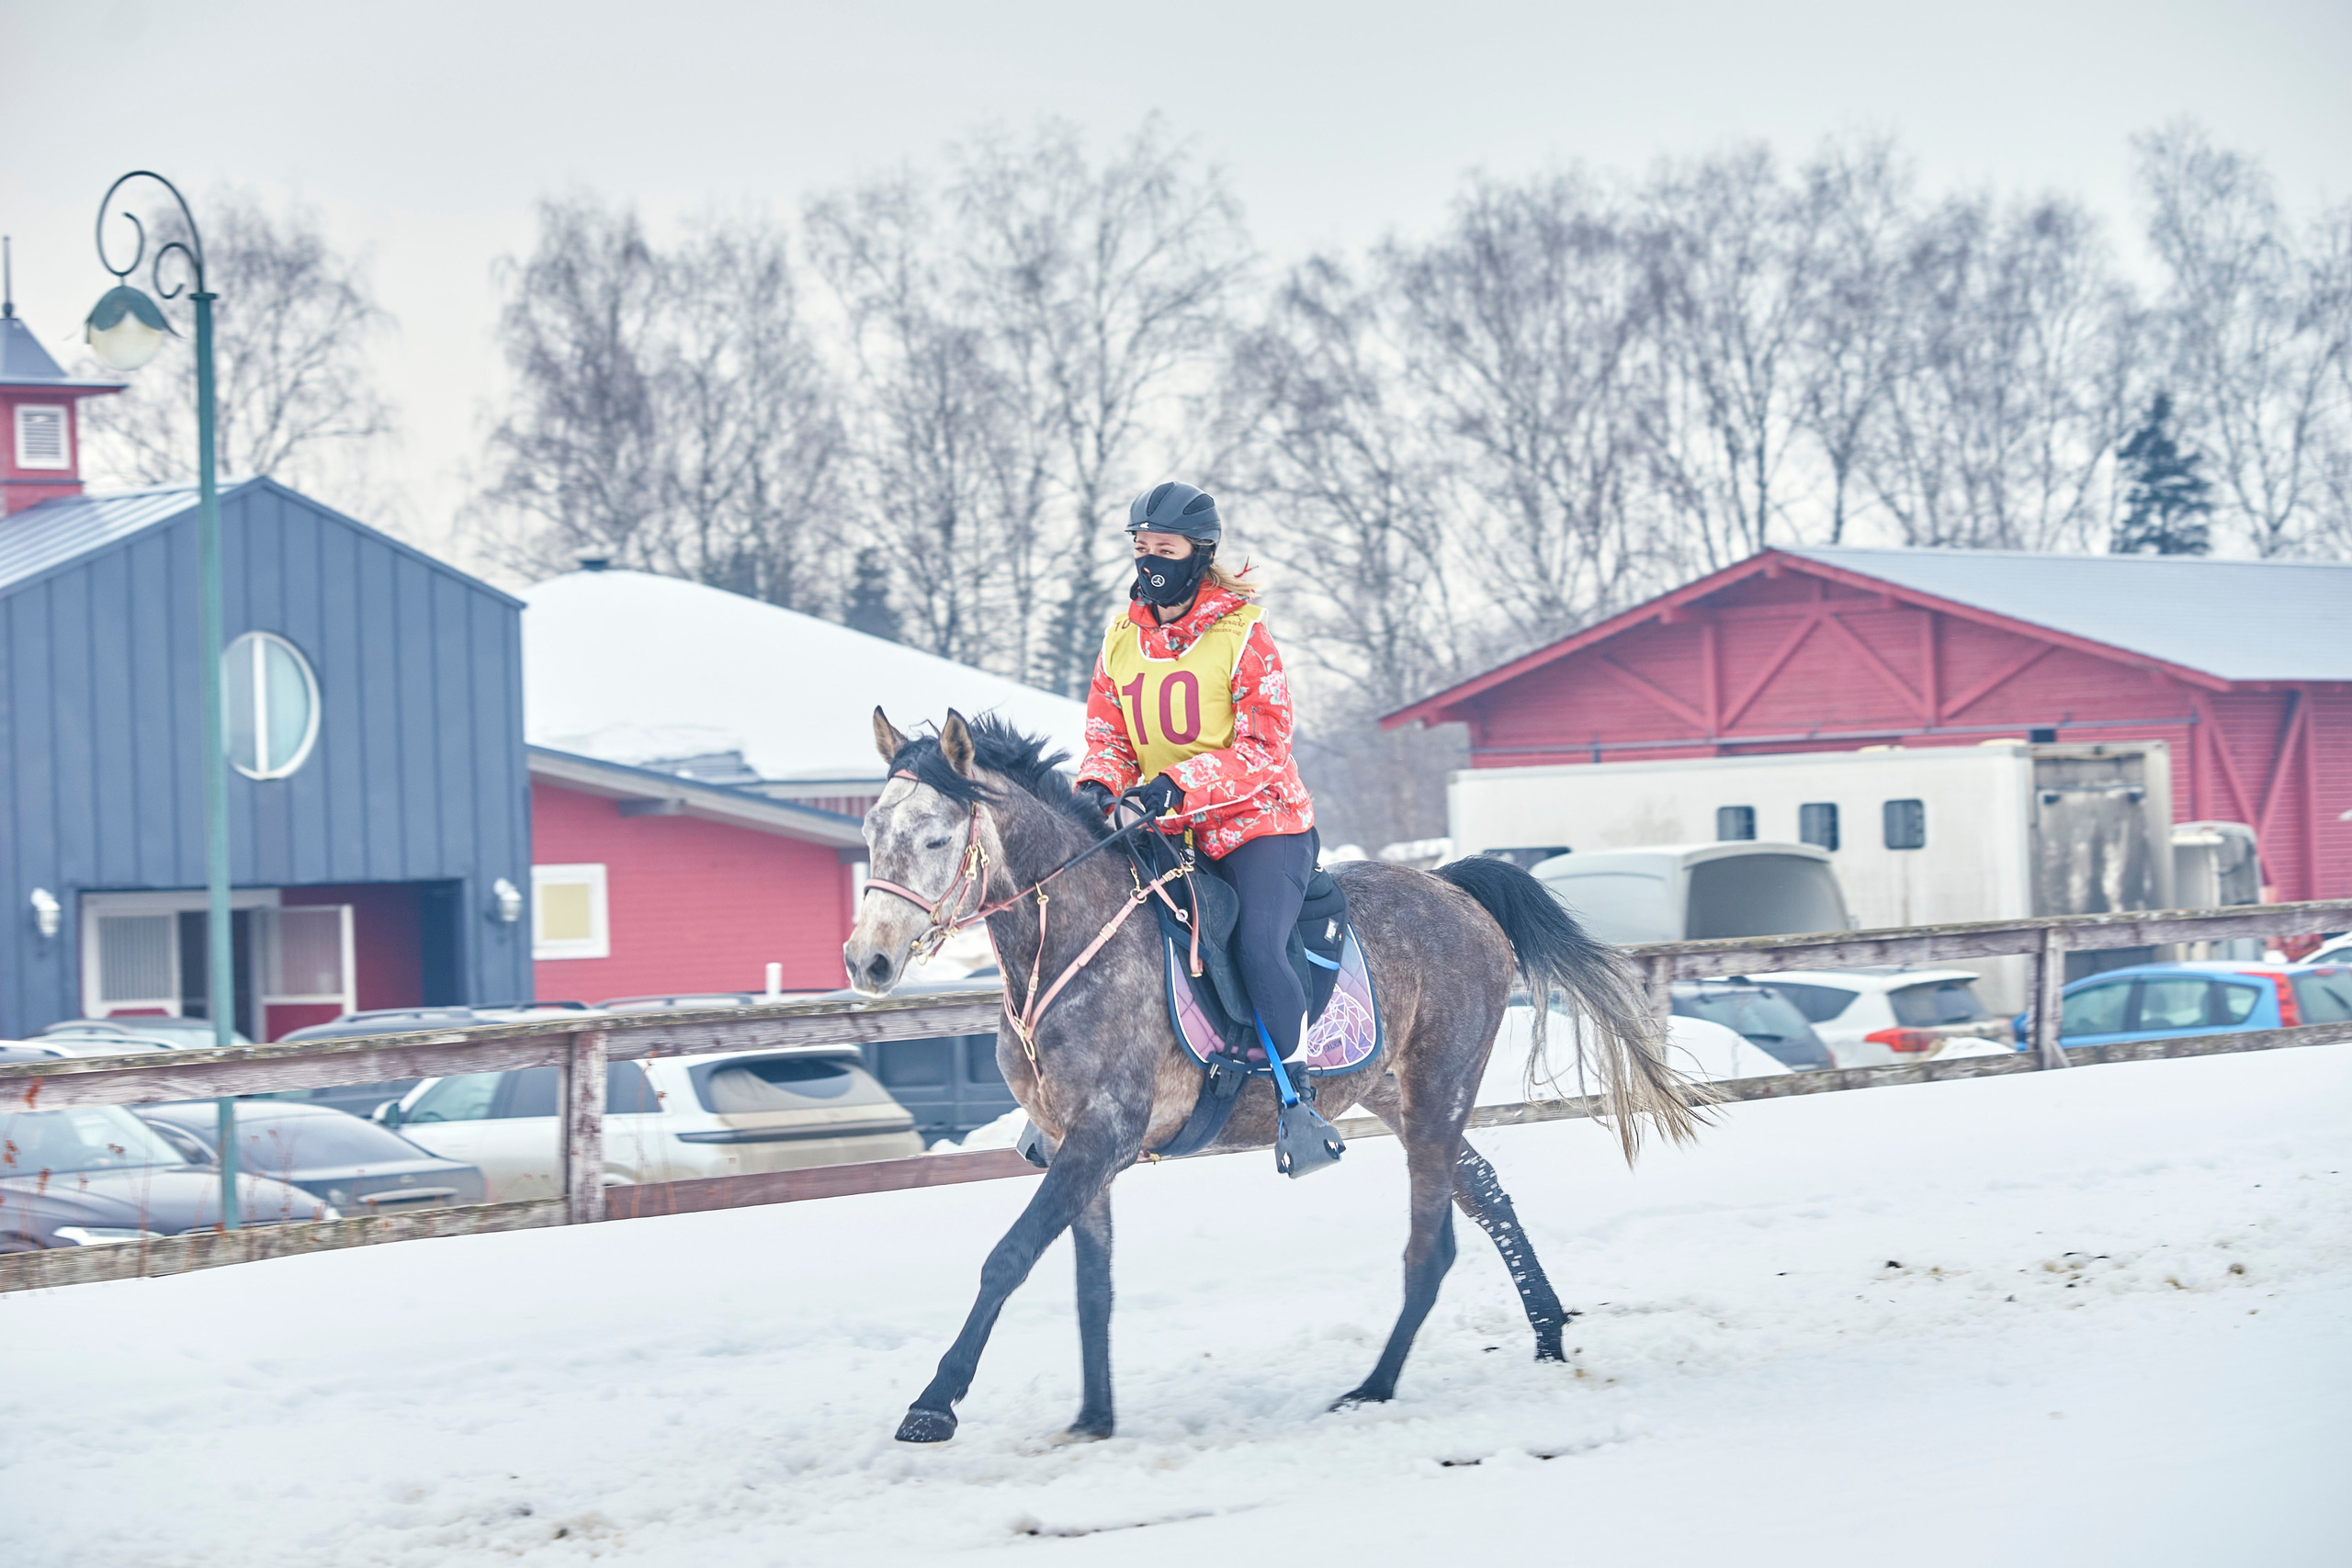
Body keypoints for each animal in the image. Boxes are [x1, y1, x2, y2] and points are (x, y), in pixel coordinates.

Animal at [847, 708, 1704, 1444]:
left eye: (936, 837)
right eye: (870, 831)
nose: (868, 960)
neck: (1067, 945)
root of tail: (1455, 888)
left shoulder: (1101, 1136)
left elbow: (1010, 1255)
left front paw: (934, 1403)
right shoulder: (1074, 1143)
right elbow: (1092, 1280)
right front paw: (1094, 1415)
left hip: (1438, 1090)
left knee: (1428, 1246)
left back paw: (1374, 1387)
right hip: (1399, 1095)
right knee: (1486, 1194)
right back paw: (1549, 1333)